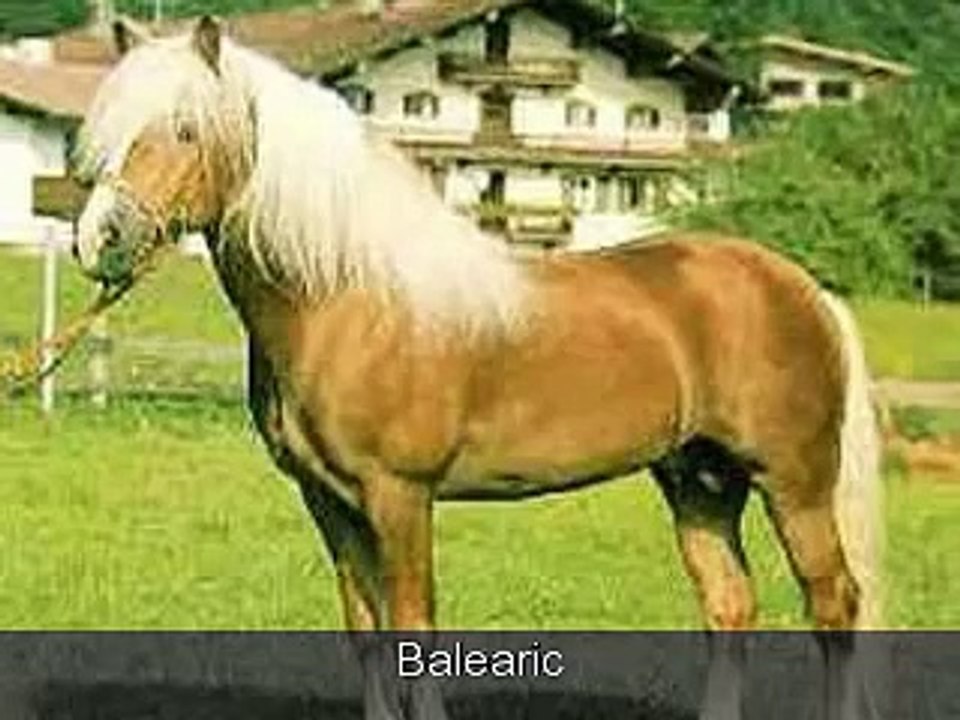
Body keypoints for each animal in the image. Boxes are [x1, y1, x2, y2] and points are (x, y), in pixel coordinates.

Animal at [72, 16, 883, 720]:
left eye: (186, 128)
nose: (100, 241)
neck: (346, 299)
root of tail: (803, 287)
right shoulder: (329, 502)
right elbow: (365, 631)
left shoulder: (399, 494)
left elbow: (412, 630)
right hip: (701, 482)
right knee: (729, 604)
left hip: (794, 481)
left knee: (834, 604)